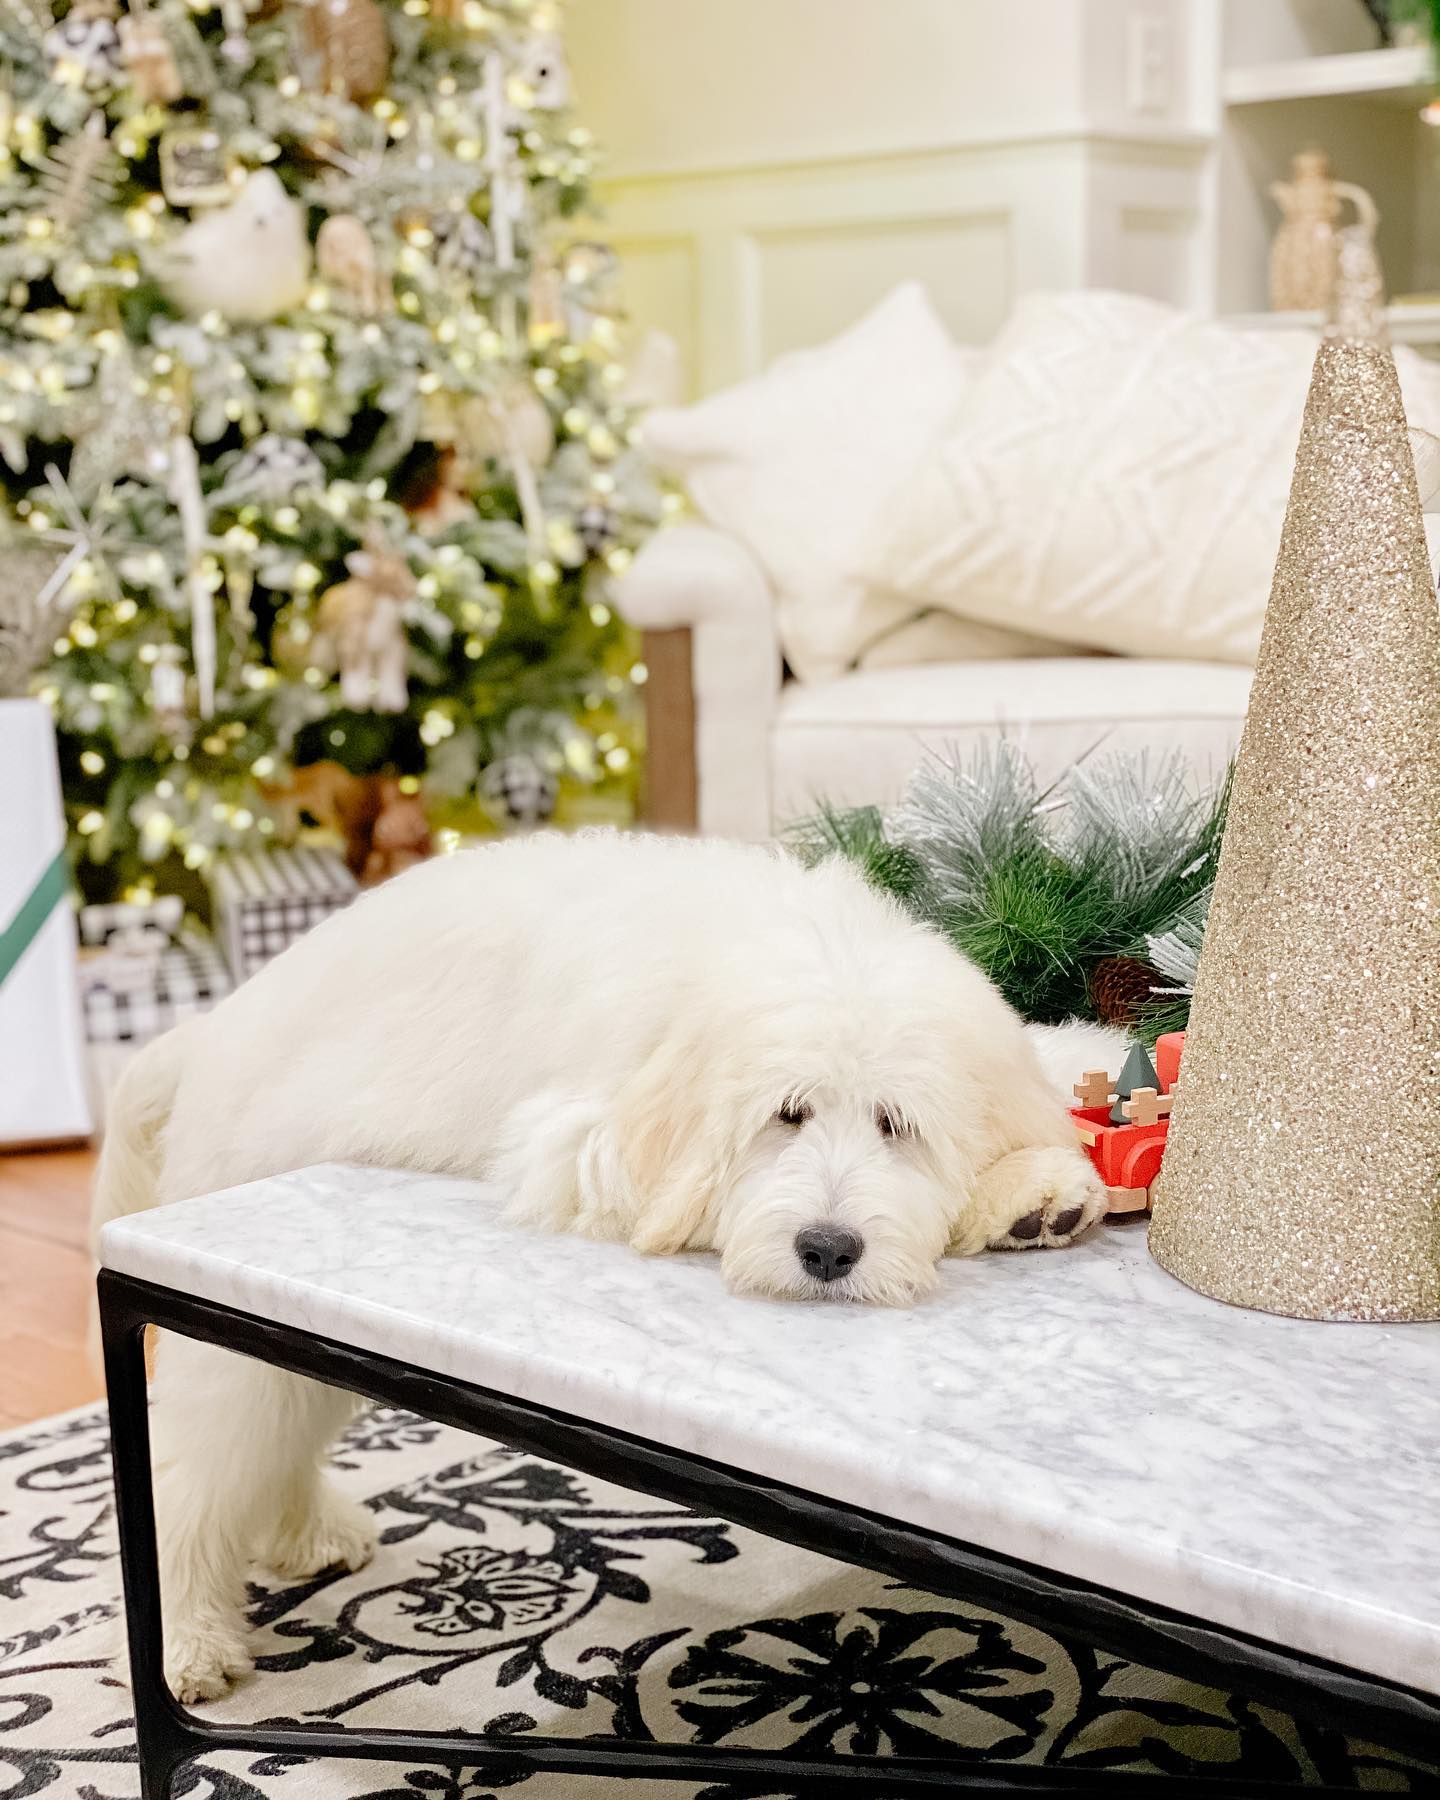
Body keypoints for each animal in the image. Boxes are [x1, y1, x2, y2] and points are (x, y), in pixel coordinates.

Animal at [92, 828, 1101, 1699]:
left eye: (898, 1125)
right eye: (788, 1114)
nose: (826, 1251)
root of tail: (208, 1030)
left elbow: (1051, 1077)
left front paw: (1041, 1189)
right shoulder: (576, 1140)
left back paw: (308, 1537)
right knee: (188, 1475)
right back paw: (189, 1645)